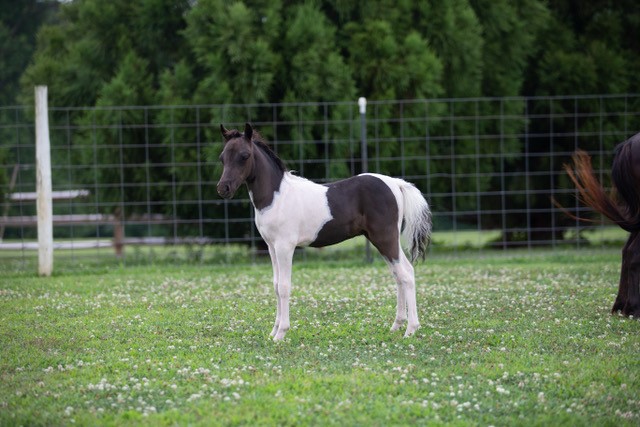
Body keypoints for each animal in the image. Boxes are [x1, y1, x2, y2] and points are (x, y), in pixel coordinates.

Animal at [218, 123, 432, 342]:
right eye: (222, 157)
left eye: (244, 155)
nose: (223, 188)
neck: (276, 197)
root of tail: (396, 183)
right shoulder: (271, 247)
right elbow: (276, 286)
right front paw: (274, 331)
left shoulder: (285, 247)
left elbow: (284, 287)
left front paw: (281, 333)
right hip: (383, 241)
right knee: (399, 274)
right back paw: (397, 325)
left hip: (385, 239)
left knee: (406, 274)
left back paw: (411, 329)